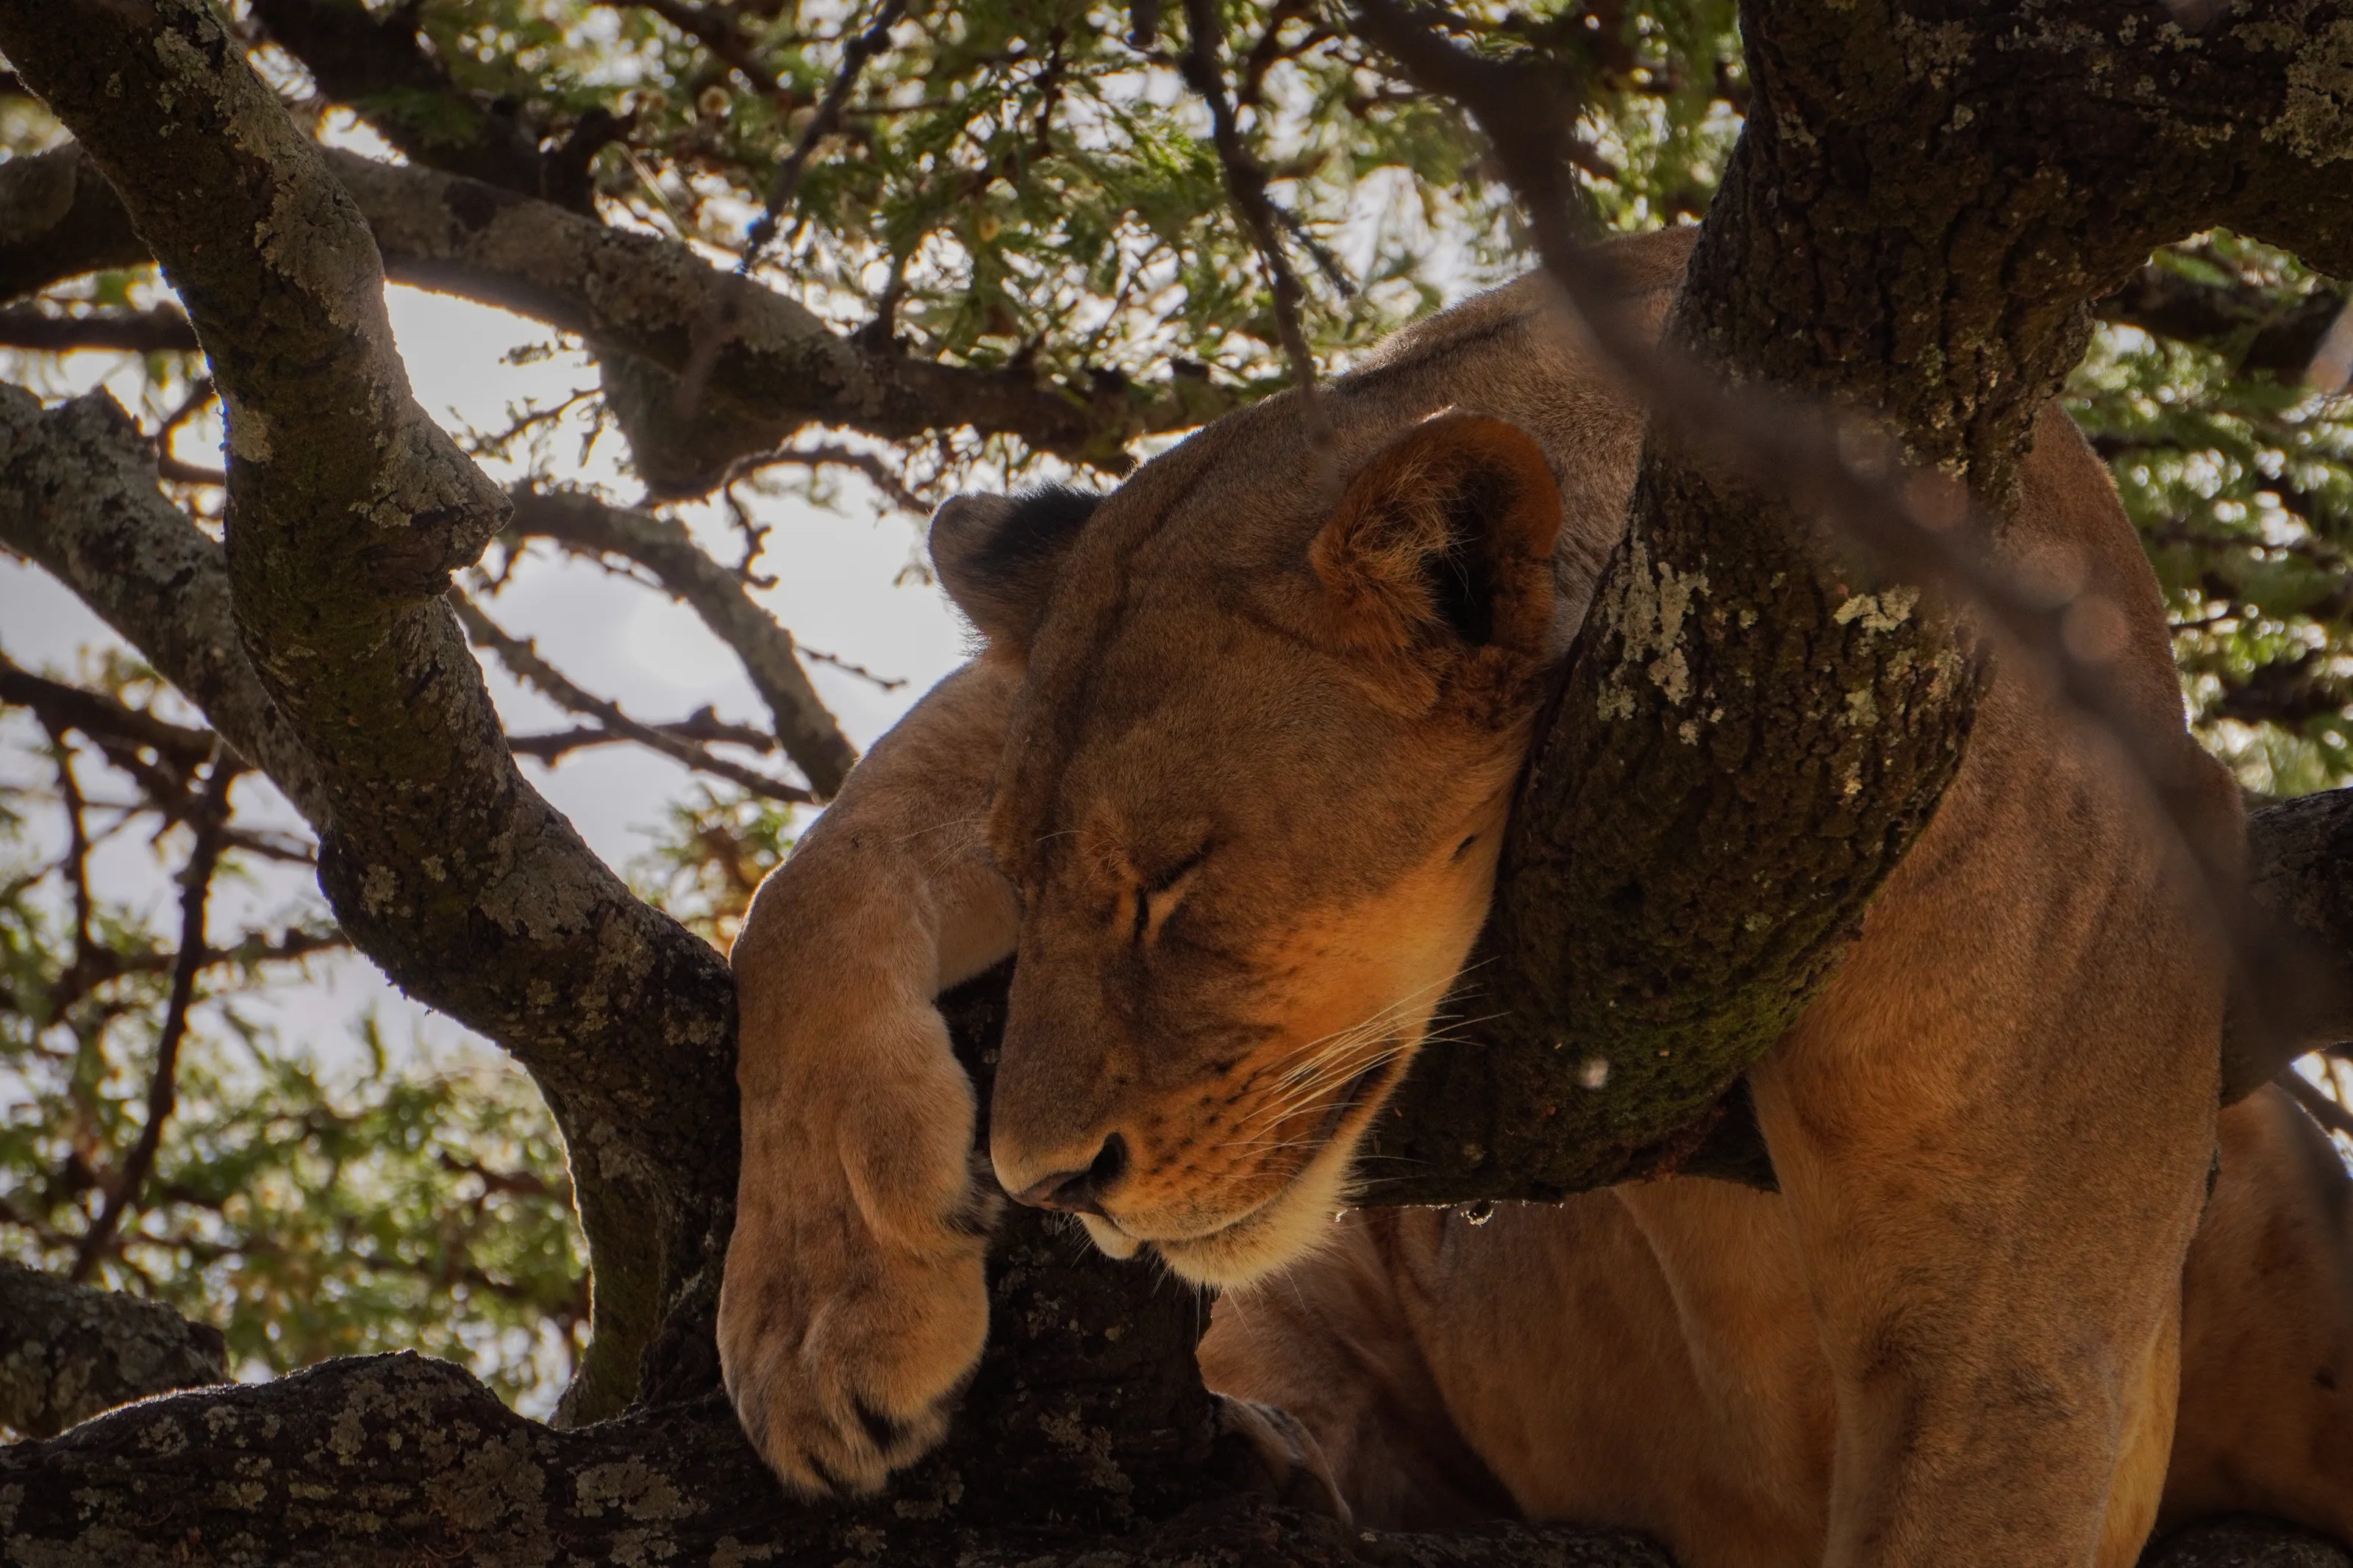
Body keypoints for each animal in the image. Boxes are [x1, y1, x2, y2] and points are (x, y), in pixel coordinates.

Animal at [716, 225, 2352, 1566]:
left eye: (1175, 885)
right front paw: (818, 1313)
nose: (1051, 1178)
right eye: (1027, 877)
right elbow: (808, 883)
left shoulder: (2005, 1322)